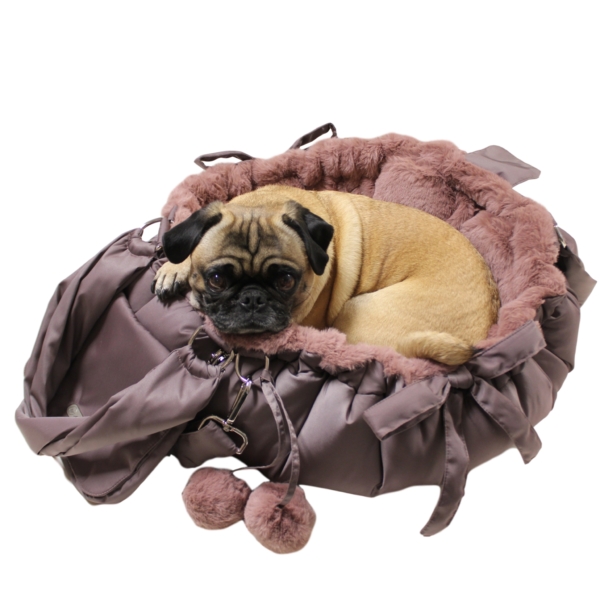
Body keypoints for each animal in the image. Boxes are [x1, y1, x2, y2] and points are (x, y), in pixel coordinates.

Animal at [153, 185, 499, 365]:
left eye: (286, 281)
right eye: (217, 280)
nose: (252, 298)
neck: (265, 204)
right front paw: (173, 268)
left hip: (356, 311)